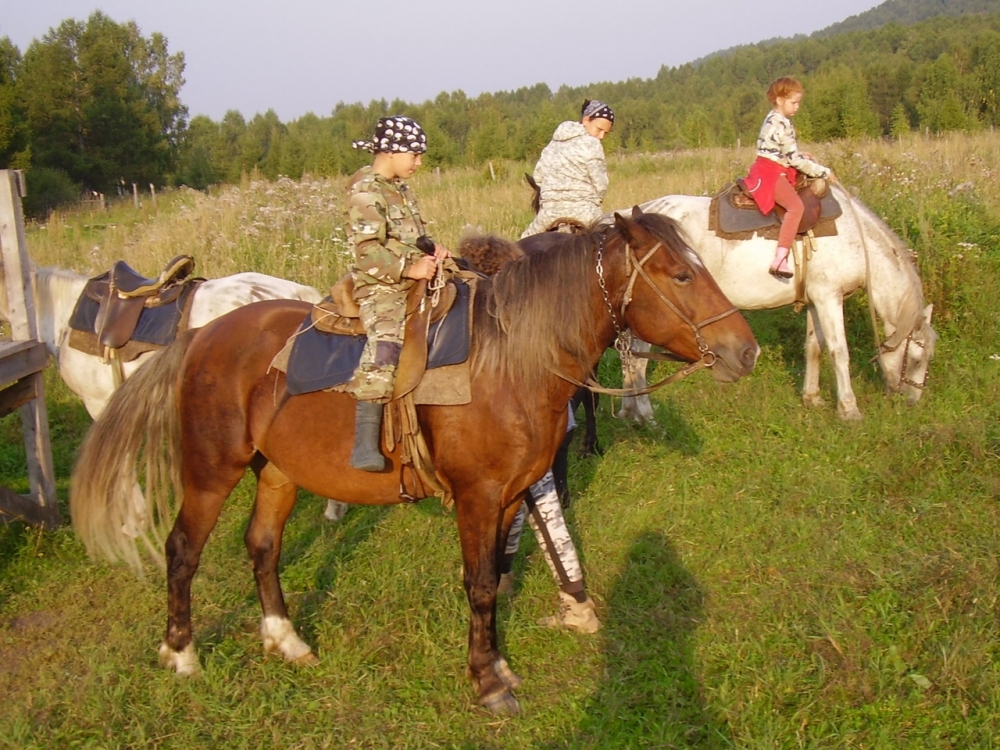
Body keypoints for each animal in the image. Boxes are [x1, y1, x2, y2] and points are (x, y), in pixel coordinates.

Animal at [70, 206, 756, 716]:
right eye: (680, 276)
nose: (743, 351)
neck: (511, 361)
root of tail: (198, 335)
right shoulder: (478, 496)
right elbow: (479, 585)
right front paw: (488, 682)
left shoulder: (512, 494)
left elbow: (496, 574)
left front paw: (499, 661)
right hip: (212, 471)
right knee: (183, 549)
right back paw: (181, 653)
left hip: (279, 472)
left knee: (262, 545)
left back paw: (286, 638)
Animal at [616, 186, 936, 424]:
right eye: (917, 359)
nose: (913, 401)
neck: (856, 239)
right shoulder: (829, 297)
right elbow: (839, 352)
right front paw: (849, 409)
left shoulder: (815, 301)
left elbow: (814, 348)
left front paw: (812, 397)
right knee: (639, 360)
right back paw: (646, 415)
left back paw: (628, 410)